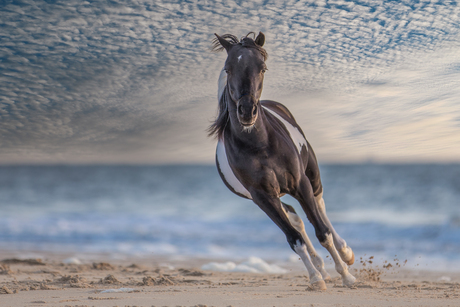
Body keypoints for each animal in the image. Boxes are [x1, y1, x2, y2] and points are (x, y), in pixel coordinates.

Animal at [208, 31, 356, 292]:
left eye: (263, 67)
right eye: (228, 68)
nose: (246, 112)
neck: (259, 145)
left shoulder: (300, 184)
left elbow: (322, 232)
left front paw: (347, 276)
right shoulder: (263, 197)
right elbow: (293, 238)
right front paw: (316, 279)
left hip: (312, 177)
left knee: (320, 208)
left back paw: (346, 254)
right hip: (277, 196)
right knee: (296, 219)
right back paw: (321, 269)